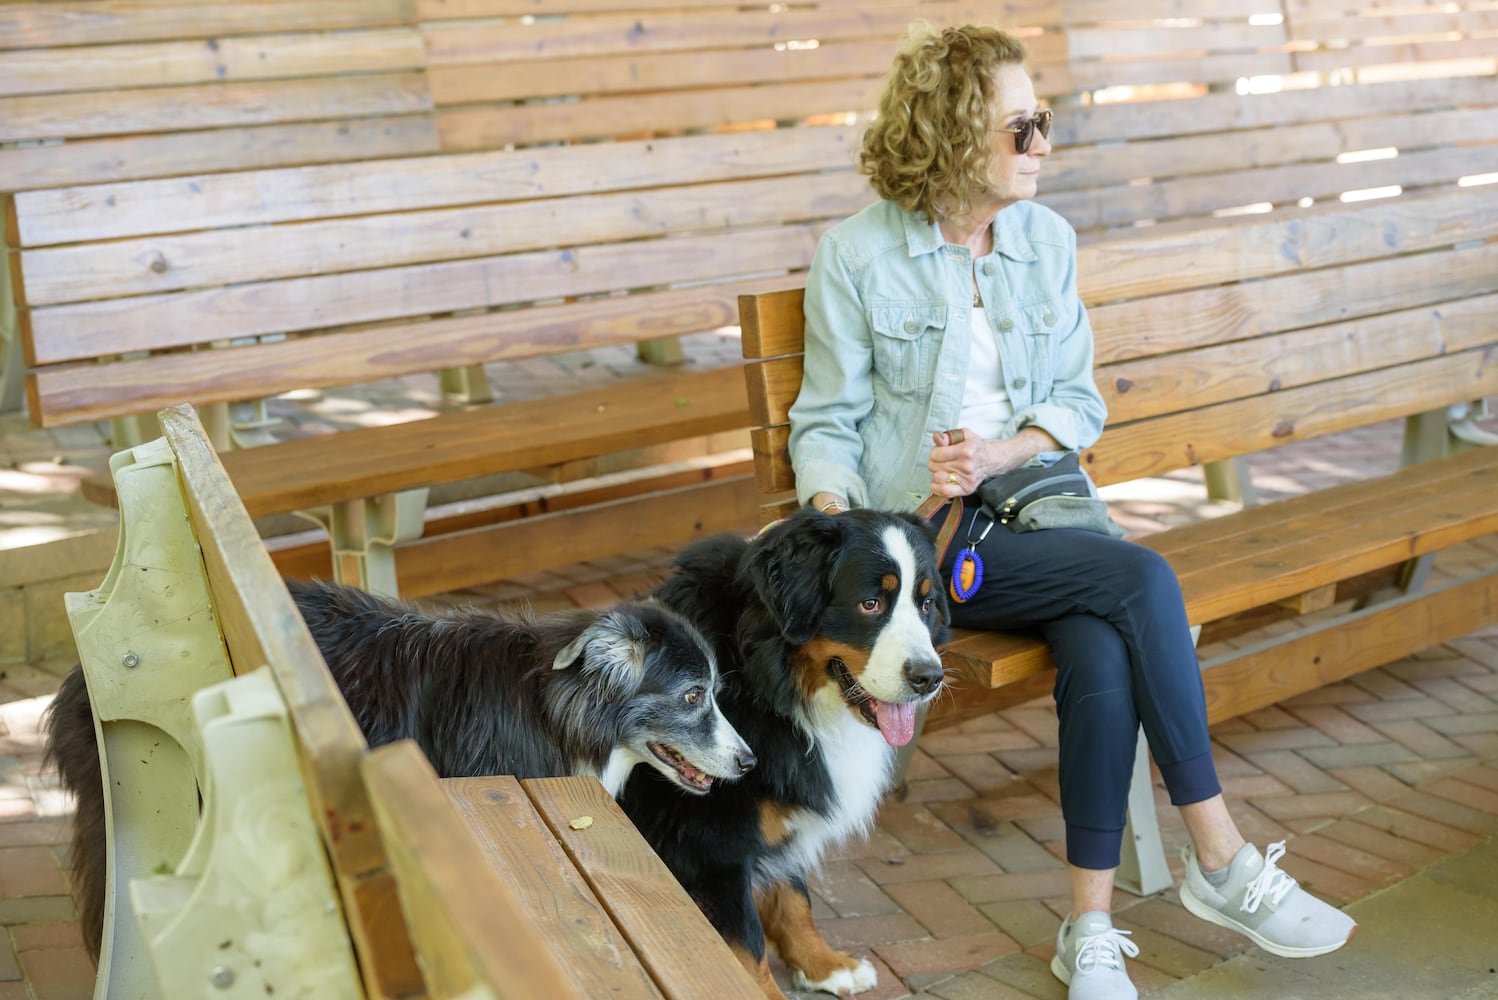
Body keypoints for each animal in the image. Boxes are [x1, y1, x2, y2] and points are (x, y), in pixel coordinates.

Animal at [620, 511, 946, 994]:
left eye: (926, 603)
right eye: (870, 604)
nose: (929, 677)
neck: (764, 682)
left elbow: (793, 899)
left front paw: (825, 965)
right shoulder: (711, 847)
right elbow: (746, 947)